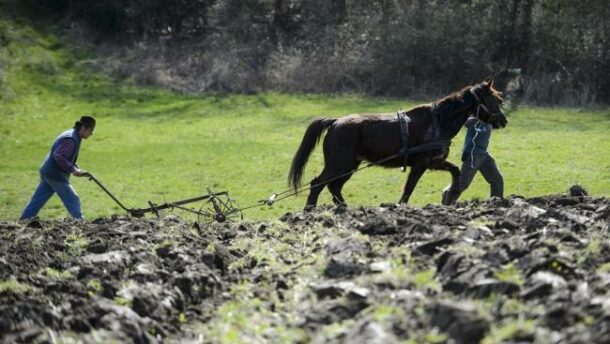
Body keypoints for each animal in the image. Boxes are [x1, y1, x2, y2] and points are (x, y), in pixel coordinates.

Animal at [288, 78, 506, 208]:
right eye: (496, 99)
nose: (504, 121)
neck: (438, 120)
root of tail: (334, 122)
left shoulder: (434, 162)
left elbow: (455, 170)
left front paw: (451, 194)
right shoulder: (421, 164)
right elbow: (409, 188)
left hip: (349, 166)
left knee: (334, 187)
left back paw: (344, 209)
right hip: (338, 164)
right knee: (318, 184)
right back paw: (309, 211)